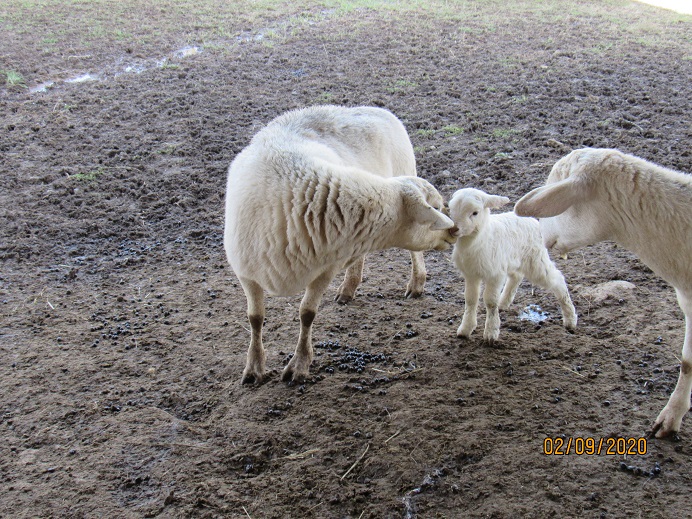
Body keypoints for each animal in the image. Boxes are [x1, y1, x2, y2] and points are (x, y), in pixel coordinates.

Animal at [224, 103, 456, 384]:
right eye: (435, 208)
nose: (455, 230)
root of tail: (377, 109)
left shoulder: (325, 270)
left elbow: (307, 314)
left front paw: (299, 364)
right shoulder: (246, 273)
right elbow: (255, 318)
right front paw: (254, 366)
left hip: (406, 169)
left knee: (414, 254)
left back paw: (416, 282)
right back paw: (349, 288)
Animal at [446, 189, 576, 344]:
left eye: (475, 213)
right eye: (450, 209)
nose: (453, 228)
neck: (478, 241)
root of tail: (531, 219)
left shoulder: (495, 274)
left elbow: (490, 301)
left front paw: (491, 333)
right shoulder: (471, 274)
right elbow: (471, 300)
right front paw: (465, 329)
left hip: (536, 260)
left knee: (557, 279)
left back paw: (570, 319)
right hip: (513, 260)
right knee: (517, 276)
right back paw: (503, 302)